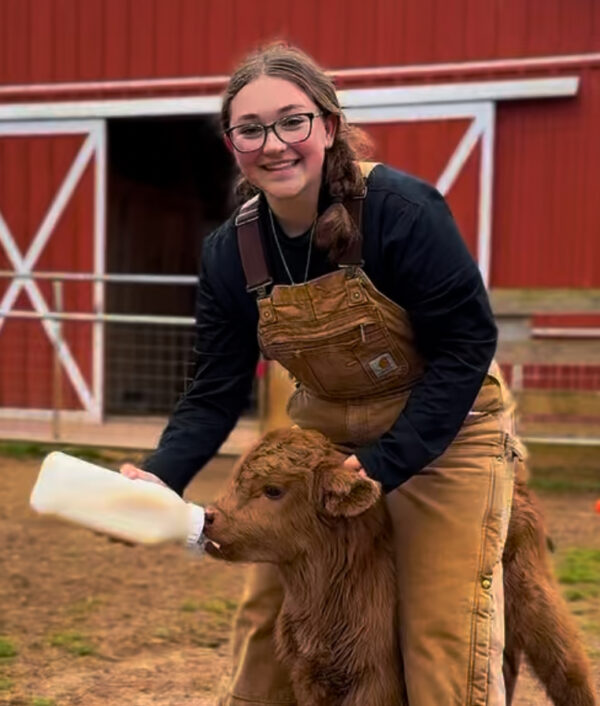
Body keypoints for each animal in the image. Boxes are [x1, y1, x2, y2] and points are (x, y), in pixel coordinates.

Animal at [203, 426, 596, 700]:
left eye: (273, 490)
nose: (210, 517)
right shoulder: (309, 675)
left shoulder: (375, 679)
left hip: (535, 598)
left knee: (568, 663)